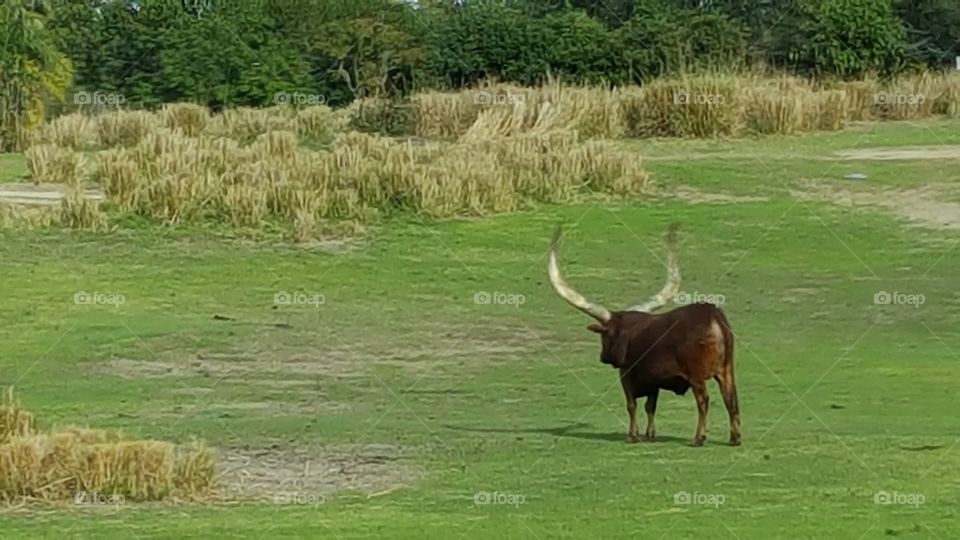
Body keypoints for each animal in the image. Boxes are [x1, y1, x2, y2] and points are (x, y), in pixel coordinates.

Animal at [548, 224, 744, 448]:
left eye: (604, 336)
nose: (602, 357)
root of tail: (713, 316)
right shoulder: (654, 381)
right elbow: (650, 406)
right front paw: (650, 435)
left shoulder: (626, 375)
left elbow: (631, 405)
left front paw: (632, 435)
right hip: (726, 371)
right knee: (731, 400)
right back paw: (734, 438)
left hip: (697, 376)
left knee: (704, 401)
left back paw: (699, 438)